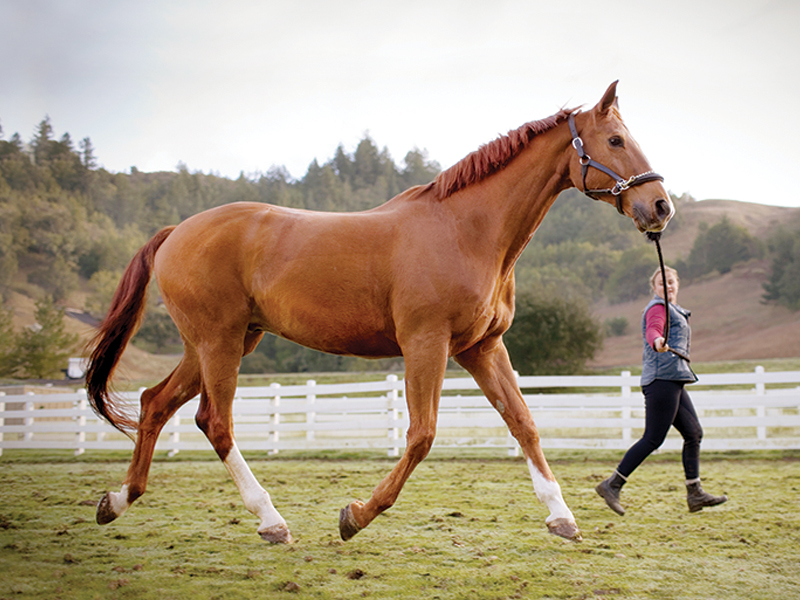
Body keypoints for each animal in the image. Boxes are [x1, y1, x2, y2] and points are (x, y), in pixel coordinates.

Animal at [86, 81, 673, 544]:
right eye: (615, 141)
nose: (661, 206)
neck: (467, 231)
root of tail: (175, 232)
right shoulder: (426, 344)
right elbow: (422, 434)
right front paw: (357, 515)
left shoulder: (482, 348)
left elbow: (523, 423)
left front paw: (561, 516)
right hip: (220, 343)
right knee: (215, 422)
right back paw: (271, 520)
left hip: (219, 343)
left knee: (155, 403)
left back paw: (118, 500)